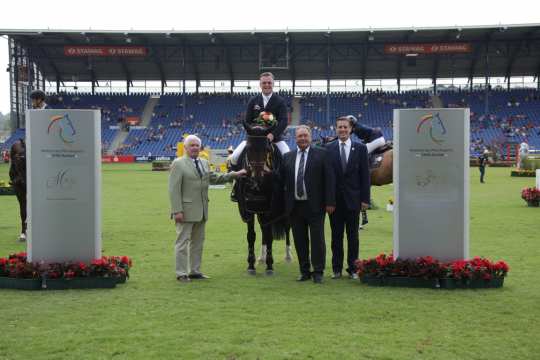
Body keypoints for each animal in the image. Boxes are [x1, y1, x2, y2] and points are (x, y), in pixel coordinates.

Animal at [232, 124, 292, 276]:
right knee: (264, 230)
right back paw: (262, 258)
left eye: (267, 149)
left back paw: (288, 256)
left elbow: (270, 235)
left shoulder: (270, 209)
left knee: (286, 227)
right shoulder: (248, 209)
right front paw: (251, 265)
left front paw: (270, 267)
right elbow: (251, 236)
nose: (256, 178)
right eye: (248, 148)